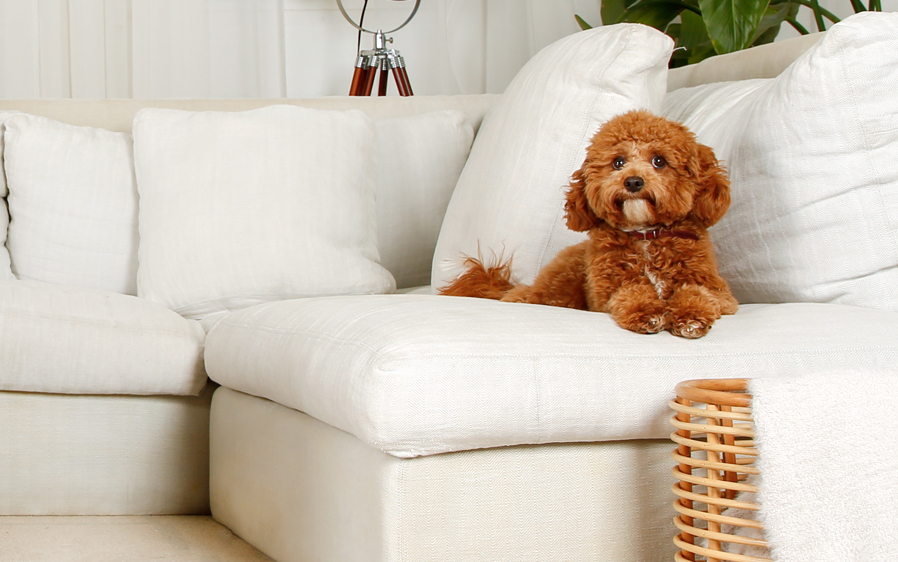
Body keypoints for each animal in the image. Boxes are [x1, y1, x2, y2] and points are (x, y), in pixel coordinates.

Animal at [440, 109, 736, 336]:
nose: (633, 182)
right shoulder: (606, 295)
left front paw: (691, 317)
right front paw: (648, 313)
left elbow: (697, 293)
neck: (645, 235)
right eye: (618, 162)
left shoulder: (723, 295)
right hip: (558, 285)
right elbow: (632, 292)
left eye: (659, 161)